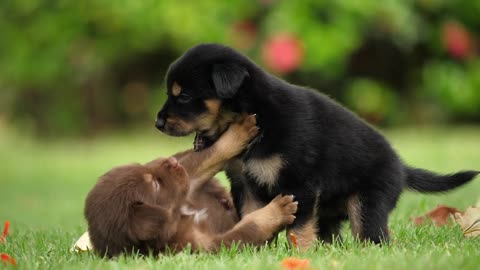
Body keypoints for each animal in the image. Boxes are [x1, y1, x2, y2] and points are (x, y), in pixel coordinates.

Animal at [84, 115, 298, 258]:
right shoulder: (206, 246)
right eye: (155, 184)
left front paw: (239, 131)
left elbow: (206, 157)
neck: (179, 217)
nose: (170, 161)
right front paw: (278, 210)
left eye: (141, 167)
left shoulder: (188, 183)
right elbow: (247, 228)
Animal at [156, 43, 478, 249]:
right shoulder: (246, 184)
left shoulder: (300, 184)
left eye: (183, 96)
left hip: (368, 202)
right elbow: (251, 216)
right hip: (330, 212)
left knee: (373, 236)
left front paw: (299, 255)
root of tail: (401, 167)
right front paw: (256, 249)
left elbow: (297, 229)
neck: (257, 114)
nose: (157, 123)